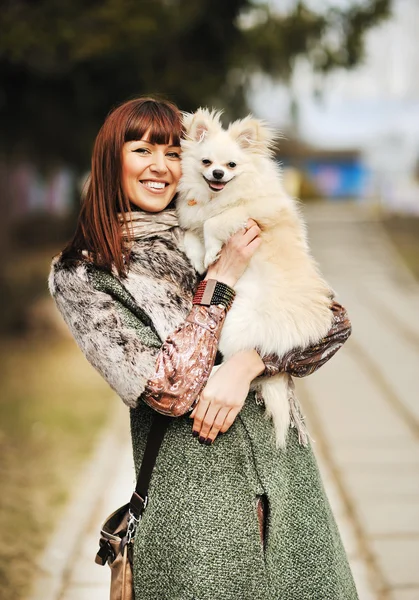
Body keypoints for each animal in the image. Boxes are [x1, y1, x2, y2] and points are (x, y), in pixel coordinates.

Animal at [177, 108, 334, 448]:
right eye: (206, 162)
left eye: (231, 166)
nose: (217, 174)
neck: (217, 197)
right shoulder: (194, 218)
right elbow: (192, 233)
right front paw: (200, 257)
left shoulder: (249, 215)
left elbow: (213, 224)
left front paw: (211, 249)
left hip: (238, 324)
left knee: (240, 368)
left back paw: (212, 377)